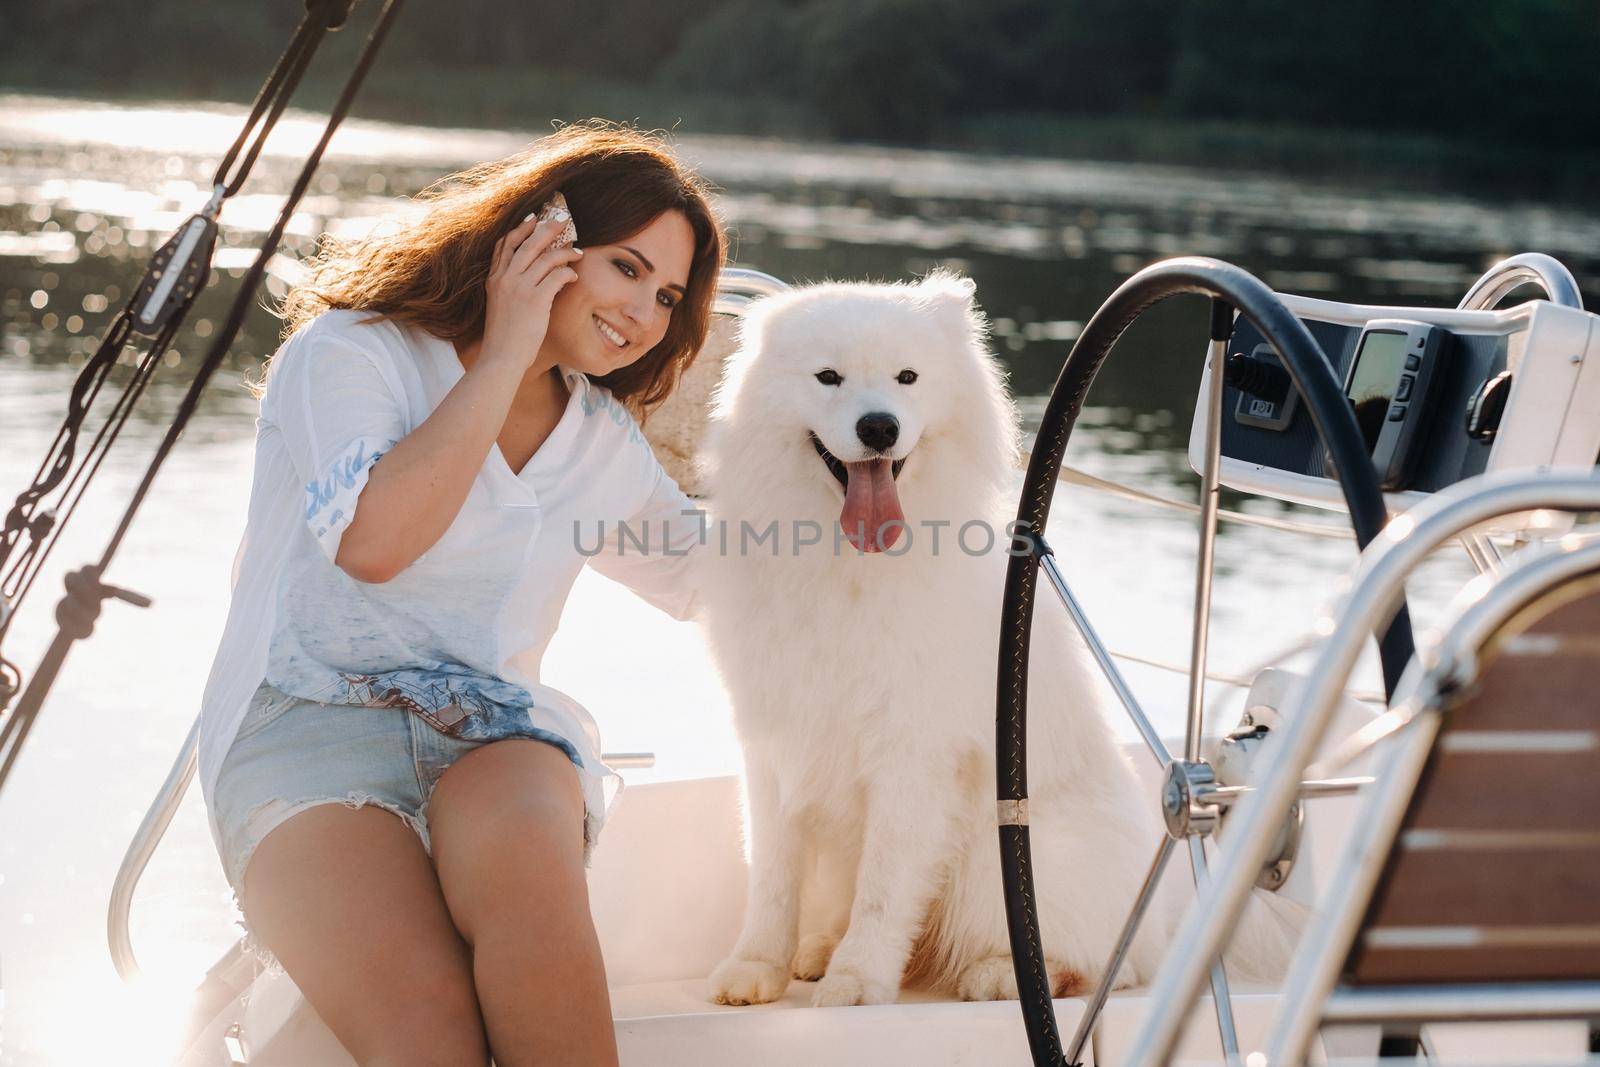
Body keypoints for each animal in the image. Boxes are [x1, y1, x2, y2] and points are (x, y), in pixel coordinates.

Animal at [700, 271, 1299, 1004]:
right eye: (828, 377)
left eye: (907, 377)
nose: (879, 427)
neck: (848, 567)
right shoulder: (771, 740)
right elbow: (772, 874)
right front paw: (756, 967)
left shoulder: (914, 754)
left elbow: (884, 890)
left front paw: (857, 979)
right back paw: (819, 949)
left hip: (1008, 857)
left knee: (1110, 963)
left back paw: (998, 974)